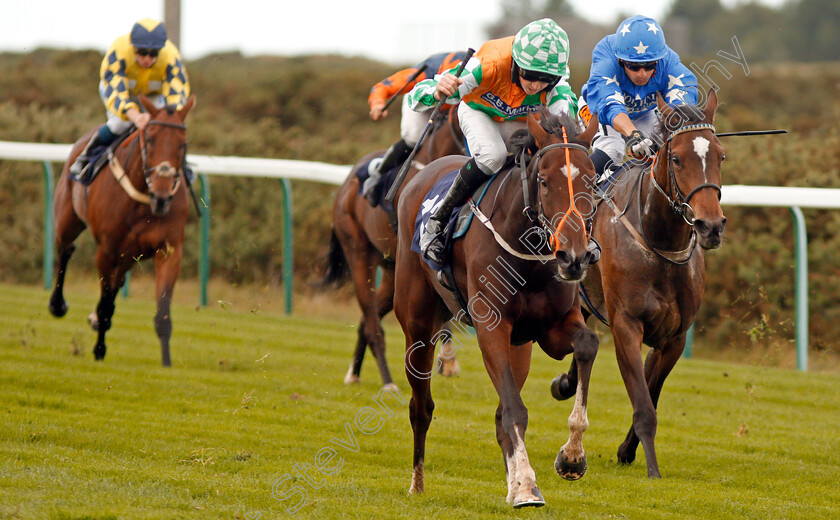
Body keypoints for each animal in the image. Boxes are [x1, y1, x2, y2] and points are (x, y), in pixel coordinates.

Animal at [48, 95, 196, 368]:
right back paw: (58, 305)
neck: (143, 199)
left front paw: (167, 364)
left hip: (127, 256)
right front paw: (99, 350)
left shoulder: (169, 250)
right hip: (68, 220)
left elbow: (163, 313)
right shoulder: (106, 251)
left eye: (183, 144)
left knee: (116, 283)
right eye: (150, 138)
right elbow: (106, 305)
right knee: (66, 249)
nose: (162, 197)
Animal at [320, 108, 466, 386]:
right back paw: (387, 380)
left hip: (391, 269)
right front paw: (449, 358)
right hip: (358, 252)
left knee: (370, 318)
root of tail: (344, 187)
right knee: (372, 321)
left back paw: (354, 373)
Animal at [396, 110, 600, 508]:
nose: (574, 257)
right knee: (421, 407)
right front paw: (526, 487)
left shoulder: (551, 329)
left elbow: (587, 344)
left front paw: (571, 456)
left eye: (591, 179)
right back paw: (417, 483)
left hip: (519, 346)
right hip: (417, 326)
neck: (530, 255)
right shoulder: (491, 325)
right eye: (543, 180)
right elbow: (514, 409)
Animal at [572, 88, 728, 476]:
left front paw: (628, 450)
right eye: (676, 158)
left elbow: (650, 390)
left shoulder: (674, 336)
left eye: (721, 155)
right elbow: (643, 403)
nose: (711, 226)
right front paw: (652, 468)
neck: (659, 242)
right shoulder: (626, 325)